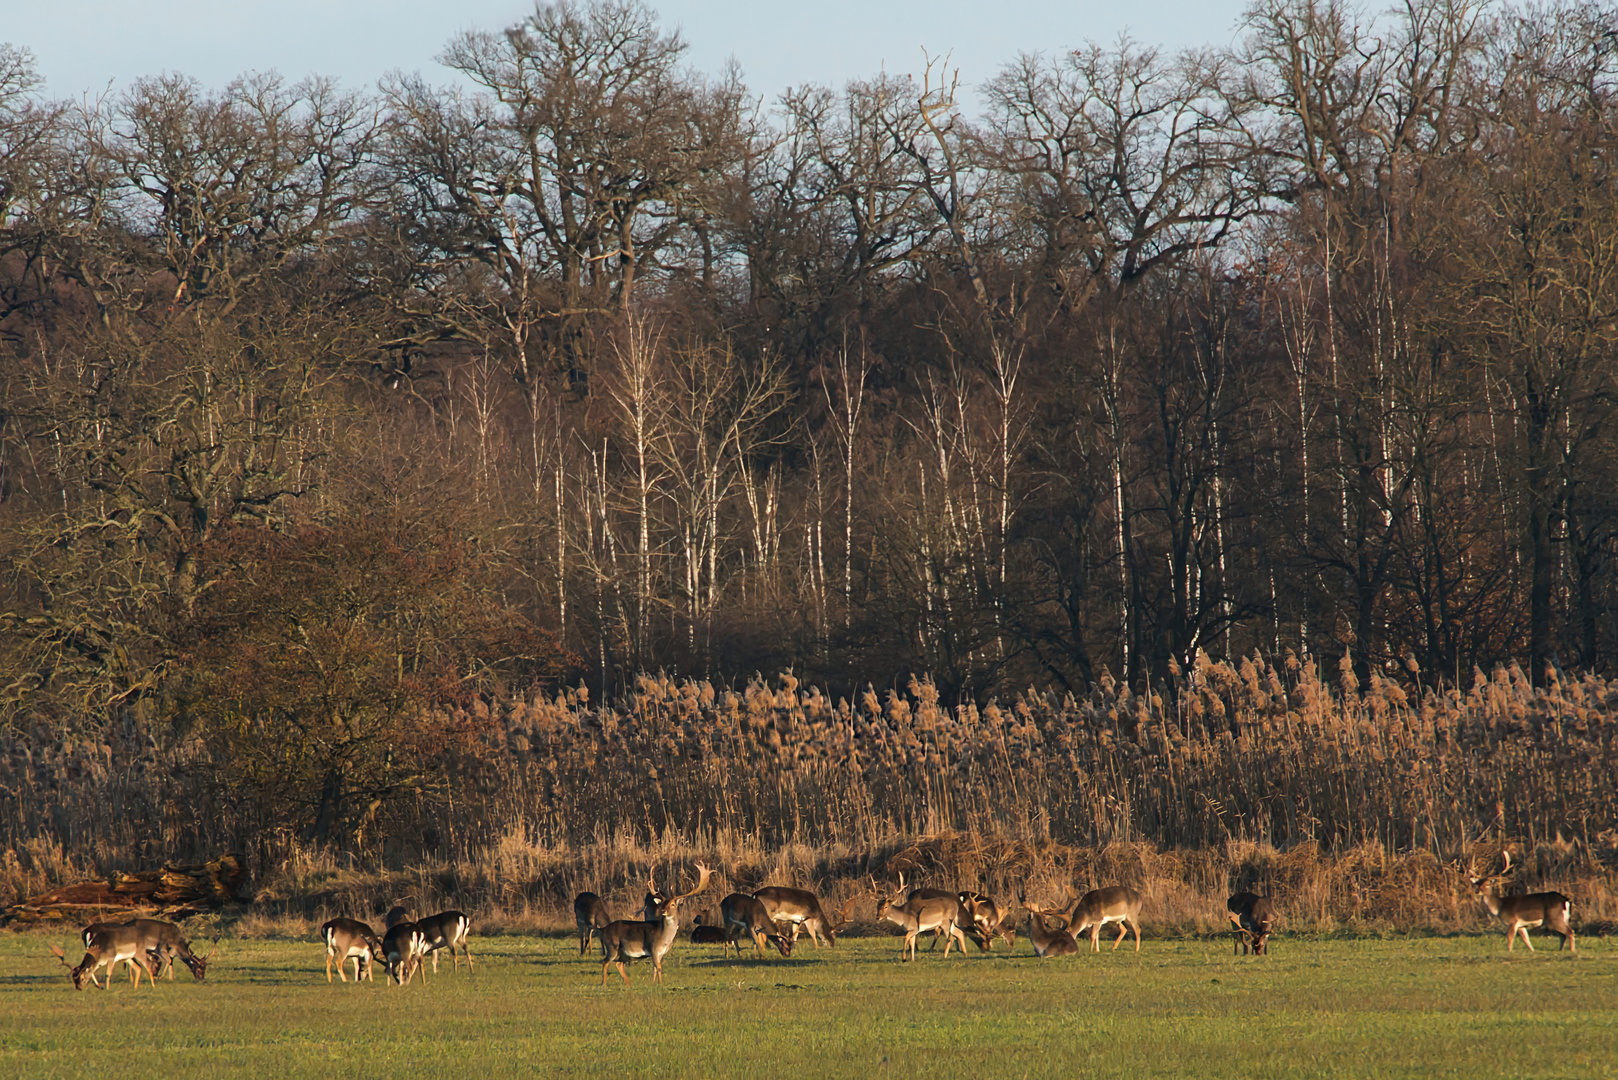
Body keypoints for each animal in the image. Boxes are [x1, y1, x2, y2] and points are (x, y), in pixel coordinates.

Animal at [601, 861, 715, 990]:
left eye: (672, 904)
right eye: (663, 903)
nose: (663, 910)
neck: (664, 938)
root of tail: (603, 929)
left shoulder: (661, 953)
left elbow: (656, 968)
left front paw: (654, 983)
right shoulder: (653, 948)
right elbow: (658, 967)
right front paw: (660, 984)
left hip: (623, 951)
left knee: (619, 964)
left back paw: (628, 983)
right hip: (612, 946)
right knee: (605, 961)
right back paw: (604, 984)